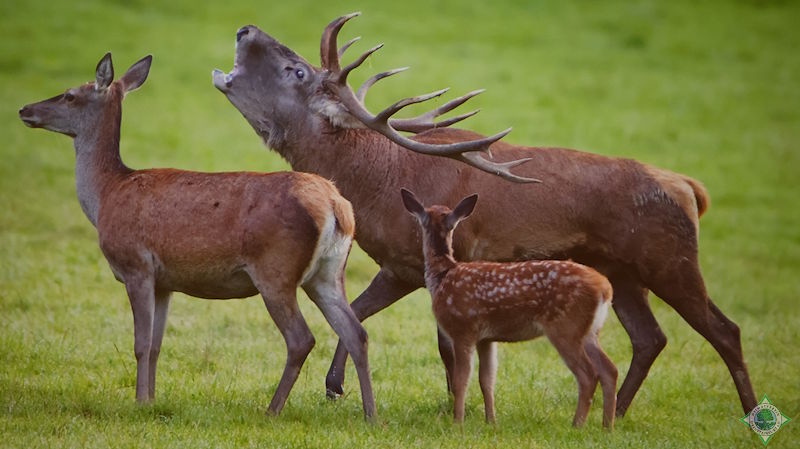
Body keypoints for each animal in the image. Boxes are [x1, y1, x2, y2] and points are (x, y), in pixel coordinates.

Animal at [18, 53, 376, 419]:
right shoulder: (165, 282)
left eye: (70, 95)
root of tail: (337, 206)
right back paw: (371, 416)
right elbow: (157, 345)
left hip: (276, 270)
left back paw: (272, 410)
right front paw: (151, 399)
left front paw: (138, 401)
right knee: (356, 332)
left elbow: (140, 344)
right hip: (328, 272)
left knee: (301, 338)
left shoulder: (136, 266)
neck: (107, 194)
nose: (25, 110)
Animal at [401, 189, 617, 428]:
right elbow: (487, 379)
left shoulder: (462, 329)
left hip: (566, 326)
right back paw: (607, 426)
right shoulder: (486, 339)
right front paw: (491, 421)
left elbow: (461, 380)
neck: (443, 275)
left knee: (588, 374)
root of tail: (604, 287)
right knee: (609, 370)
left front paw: (458, 422)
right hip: (589, 331)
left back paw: (577, 425)